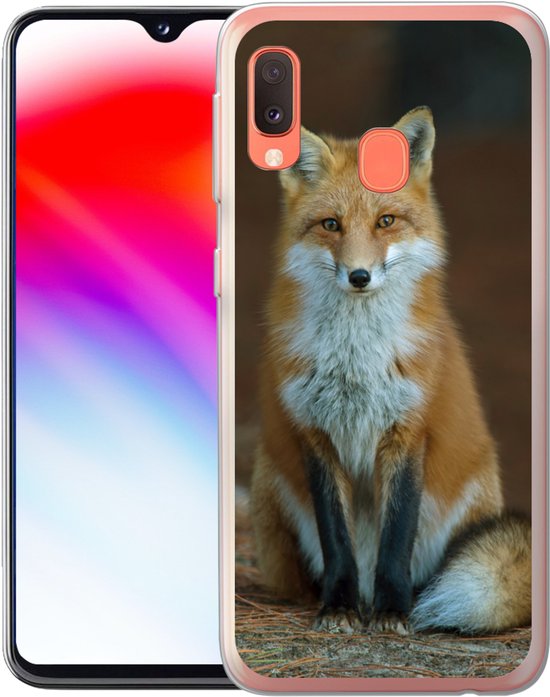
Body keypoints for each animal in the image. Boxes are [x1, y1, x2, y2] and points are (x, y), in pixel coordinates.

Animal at [249, 106, 531, 635]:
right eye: (331, 224)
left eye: (386, 221)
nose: (359, 276)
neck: (355, 361)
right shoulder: (316, 433)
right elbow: (336, 540)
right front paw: (338, 606)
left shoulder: (407, 430)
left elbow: (396, 538)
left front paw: (393, 610)